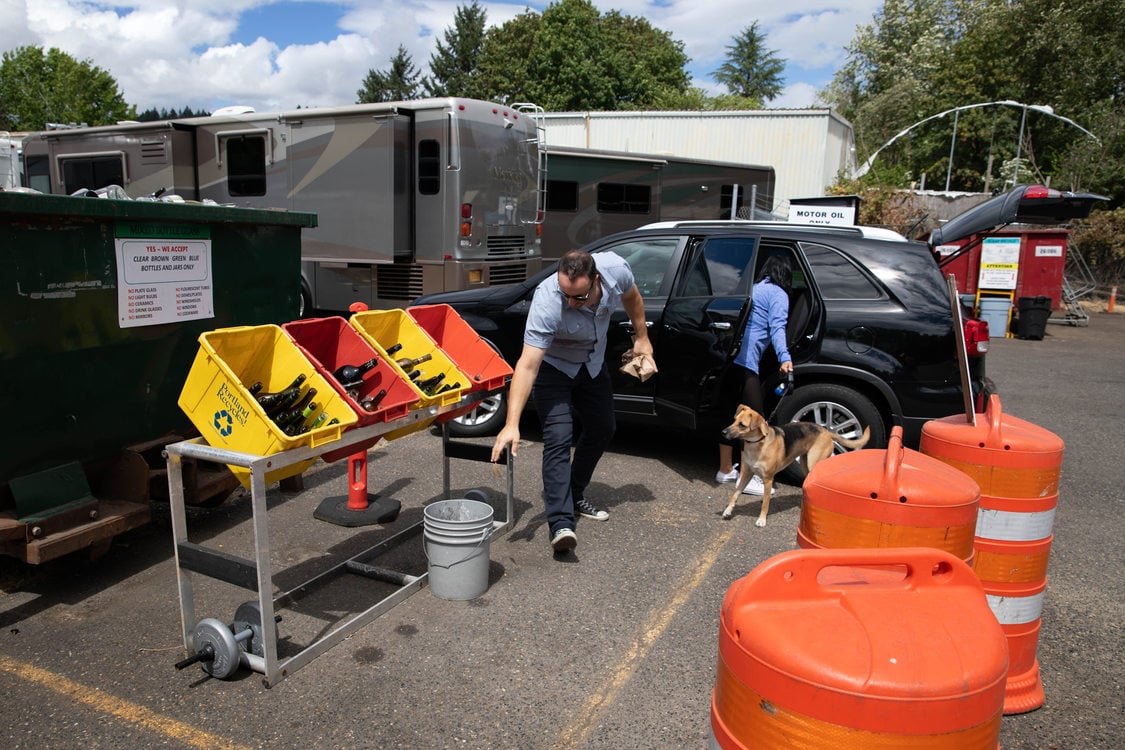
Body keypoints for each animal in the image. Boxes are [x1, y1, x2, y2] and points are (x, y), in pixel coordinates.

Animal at [720, 407, 868, 526]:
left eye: (742, 425)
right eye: (734, 420)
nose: (723, 432)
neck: (757, 444)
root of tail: (826, 431)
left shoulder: (768, 480)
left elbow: (766, 503)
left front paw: (761, 519)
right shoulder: (747, 474)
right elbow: (735, 493)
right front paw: (728, 510)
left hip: (813, 463)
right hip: (804, 464)